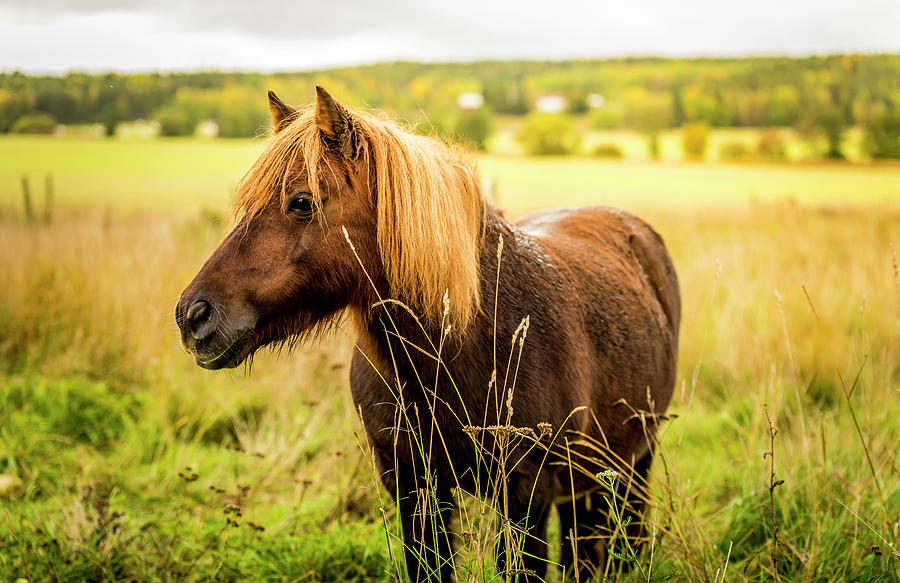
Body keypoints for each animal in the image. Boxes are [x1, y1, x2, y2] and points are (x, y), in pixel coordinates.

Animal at [175, 86, 680, 581]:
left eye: (302, 202)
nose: (192, 315)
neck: (459, 348)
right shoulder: (413, 486)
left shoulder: (526, 493)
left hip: (634, 461)